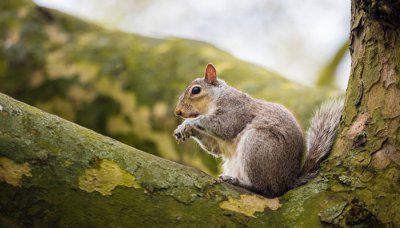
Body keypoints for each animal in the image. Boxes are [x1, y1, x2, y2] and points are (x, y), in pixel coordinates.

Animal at [173, 63, 344, 197]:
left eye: (196, 90)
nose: (178, 112)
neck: (216, 98)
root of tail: (288, 181)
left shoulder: (236, 111)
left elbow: (224, 126)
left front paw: (188, 123)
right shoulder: (218, 142)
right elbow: (214, 147)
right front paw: (185, 130)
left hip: (257, 145)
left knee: (264, 190)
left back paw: (238, 182)